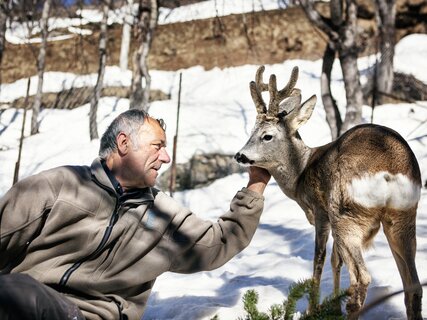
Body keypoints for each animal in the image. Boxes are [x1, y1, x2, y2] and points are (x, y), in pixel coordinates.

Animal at [236, 65, 422, 320]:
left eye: (267, 136)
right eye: (252, 132)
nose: (240, 155)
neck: (301, 172)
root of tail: (389, 171)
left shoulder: (320, 210)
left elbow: (320, 258)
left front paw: (313, 308)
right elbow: (336, 260)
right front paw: (333, 304)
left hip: (345, 212)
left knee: (362, 277)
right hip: (403, 216)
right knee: (413, 283)